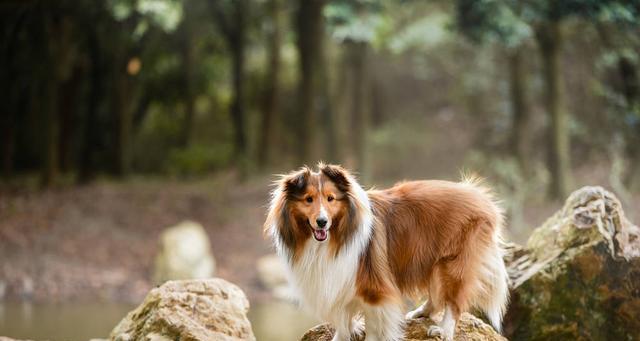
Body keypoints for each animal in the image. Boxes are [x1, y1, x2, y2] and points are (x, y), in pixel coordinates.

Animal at [262, 163, 508, 338]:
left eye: (331, 199)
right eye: (308, 199)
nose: (322, 222)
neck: (333, 239)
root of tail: (481, 197)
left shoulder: (375, 288)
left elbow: (374, 324)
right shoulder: (340, 281)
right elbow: (343, 320)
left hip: (453, 264)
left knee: (453, 302)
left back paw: (444, 330)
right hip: (431, 260)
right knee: (437, 295)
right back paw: (420, 312)